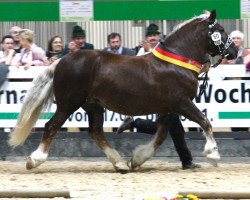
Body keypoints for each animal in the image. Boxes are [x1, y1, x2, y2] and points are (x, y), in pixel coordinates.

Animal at [8, 10, 237, 173]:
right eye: (221, 29)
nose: (234, 51)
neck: (176, 62)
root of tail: (60, 61)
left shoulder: (168, 108)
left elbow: (162, 135)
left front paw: (136, 159)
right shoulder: (182, 103)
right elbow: (204, 122)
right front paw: (213, 154)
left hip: (93, 106)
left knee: (96, 132)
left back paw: (119, 163)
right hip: (68, 103)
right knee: (52, 126)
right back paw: (34, 160)